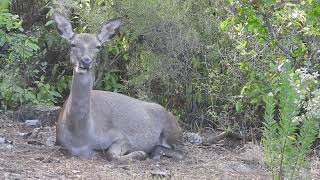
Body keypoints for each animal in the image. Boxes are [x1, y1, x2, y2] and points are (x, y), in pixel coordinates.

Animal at [54, 13, 186, 161]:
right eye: (73, 44)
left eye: (98, 46)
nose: (85, 61)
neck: (81, 138)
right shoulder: (60, 142)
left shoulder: (122, 137)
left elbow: (111, 154)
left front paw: (140, 153)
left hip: (172, 130)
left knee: (181, 151)